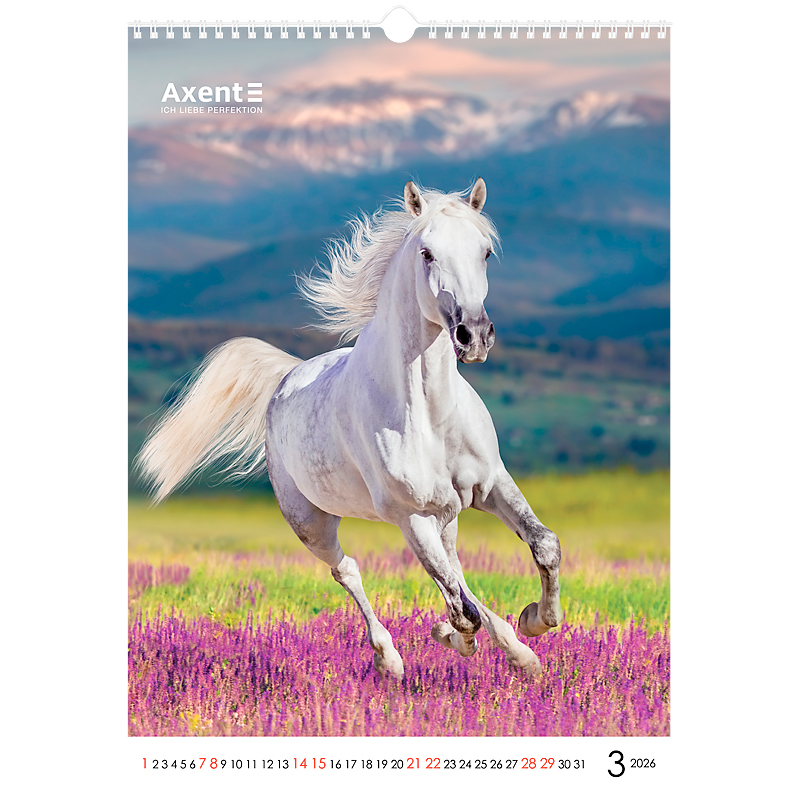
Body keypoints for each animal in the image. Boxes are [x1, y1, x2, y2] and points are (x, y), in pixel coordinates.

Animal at [136, 178, 564, 678]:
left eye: (486, 252)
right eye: (427, 253)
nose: (473, 335)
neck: (430, 415)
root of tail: (287, 377)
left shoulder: (490, 484)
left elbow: (542, 546)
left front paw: (533, 623)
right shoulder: (410, 516)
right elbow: (460, 607)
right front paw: (467, 638)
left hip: (447, 514)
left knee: (455, 569)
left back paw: (505, 647)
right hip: (312, 522)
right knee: (350, 570)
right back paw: (391, 658)